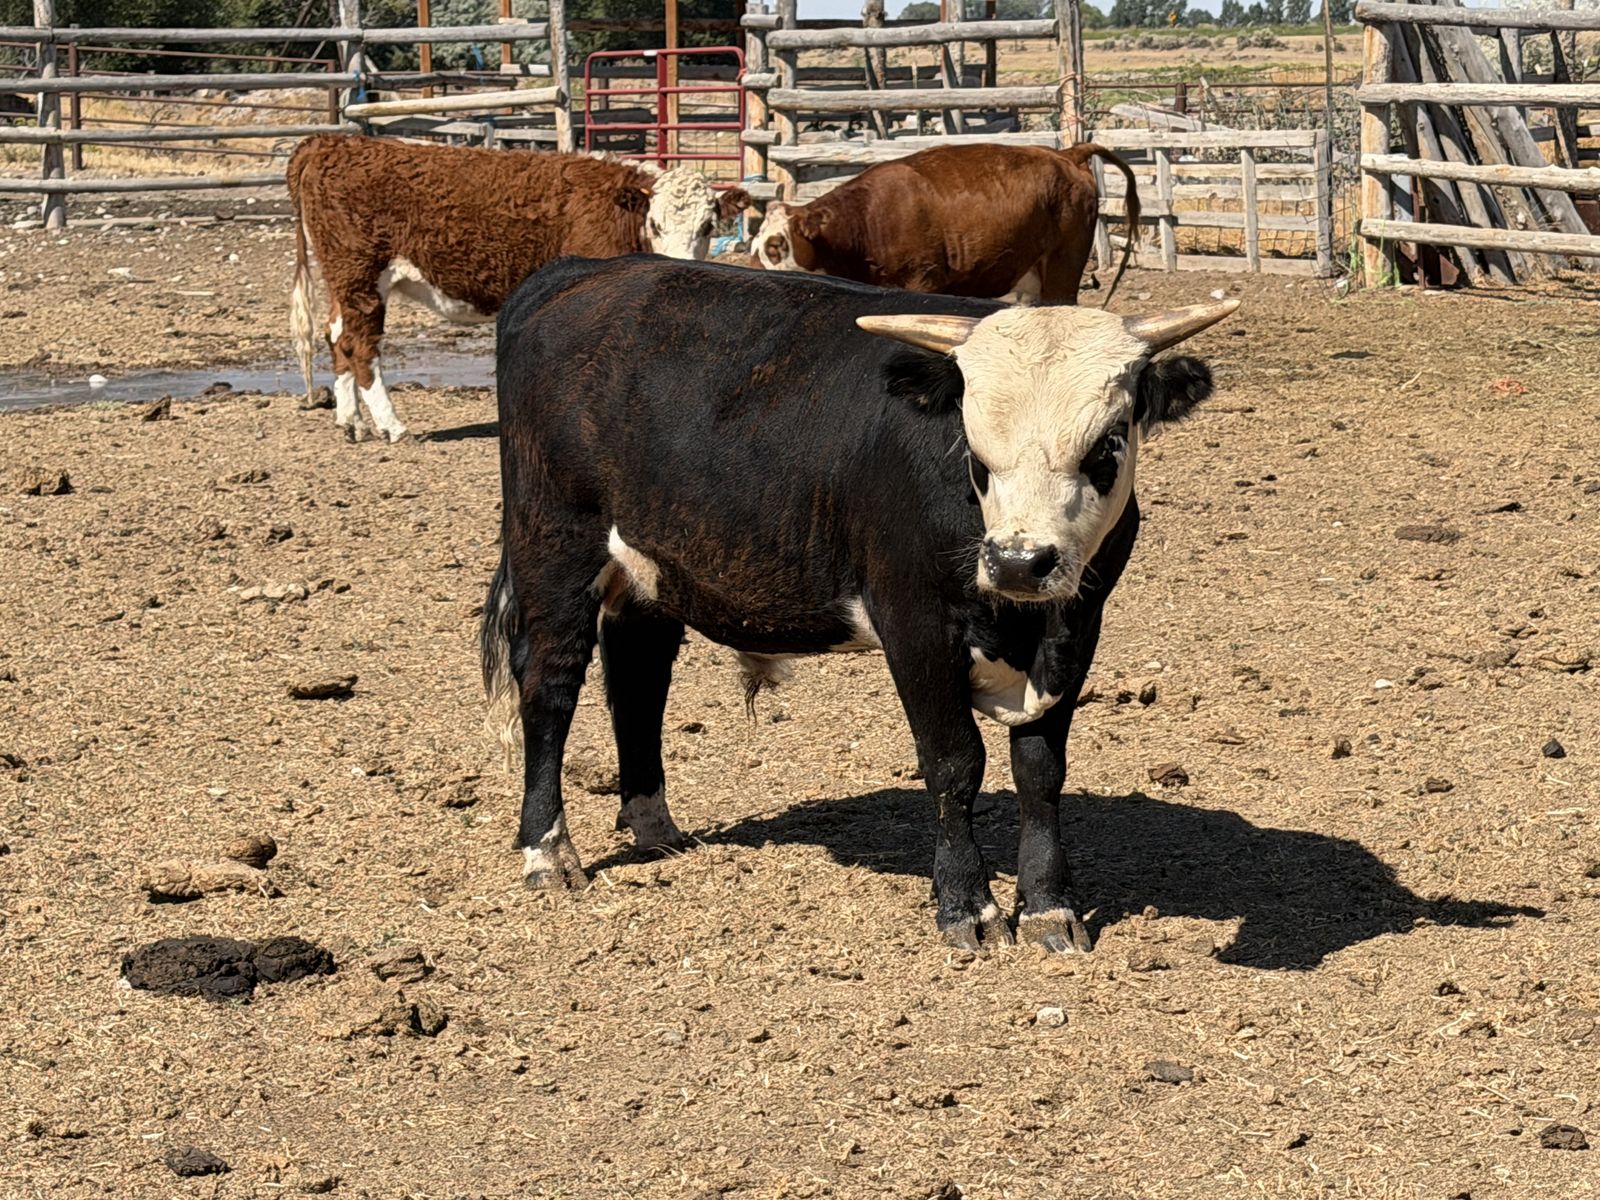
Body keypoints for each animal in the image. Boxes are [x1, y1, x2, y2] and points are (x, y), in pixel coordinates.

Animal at [286, 135, 749, 442]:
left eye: (708, 226)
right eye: (655, 223)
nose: (681, 264)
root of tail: (331, 141)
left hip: (344, 283)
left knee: (337, 336)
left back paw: (351, 422)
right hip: (362, 276)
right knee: (361, 345)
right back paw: (392, 426)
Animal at [479, 254, 1237, 952]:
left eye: (1107, 443)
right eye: (975, 450)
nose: (1019, 562)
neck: (1023, 625)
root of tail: (585, 272)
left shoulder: (1078, 626)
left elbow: (1040, 771)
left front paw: (1050, 906)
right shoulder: (915, 626)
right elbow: (955, 763)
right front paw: (968, 908)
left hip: (651, 569)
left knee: (638, 677)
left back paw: (654, 825)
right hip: (555, 547)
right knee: (550, 687)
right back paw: (548, 851)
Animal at [754, 142, 1141, 307]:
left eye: (777, 246)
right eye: (755, 247)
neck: (867, 220)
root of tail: (1066, 154)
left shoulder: (922, 280)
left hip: (1063, 268)